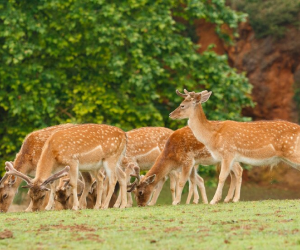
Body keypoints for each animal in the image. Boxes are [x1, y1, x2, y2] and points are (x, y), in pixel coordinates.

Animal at [169, 90, 300, 205]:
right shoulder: (229, 157)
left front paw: (214, 200)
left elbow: (222, 177)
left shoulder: (228, 152)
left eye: (182, 105)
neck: (213, 136)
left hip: (292, 151)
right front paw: (229, 199)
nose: (171, 114)